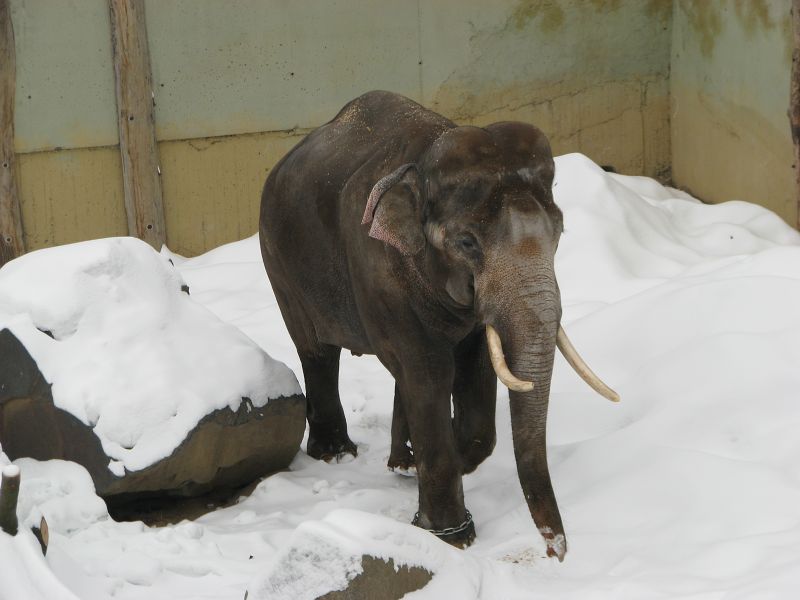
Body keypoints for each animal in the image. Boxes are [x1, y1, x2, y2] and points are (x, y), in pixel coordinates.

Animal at [259, 91, 618, 560]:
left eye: (559, 232)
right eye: (466, 242)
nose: (557, 552)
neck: (425, 157)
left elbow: (475, 372)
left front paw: (443, 463)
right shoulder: (377, 269)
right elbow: (429, 373)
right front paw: (451, 536)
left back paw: (400, 460)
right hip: (280, 263)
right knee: (316, 349)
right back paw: (337, 455)